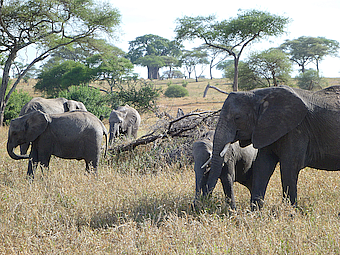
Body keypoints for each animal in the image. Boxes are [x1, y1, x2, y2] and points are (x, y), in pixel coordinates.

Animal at [203, 85, 340, 209]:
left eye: (237, 118)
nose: (204, 201)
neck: (259, 95)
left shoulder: (296, 129)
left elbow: (289, 167)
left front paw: (289, 213)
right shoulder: (265, 128)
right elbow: (263, 165)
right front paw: (255, 213)